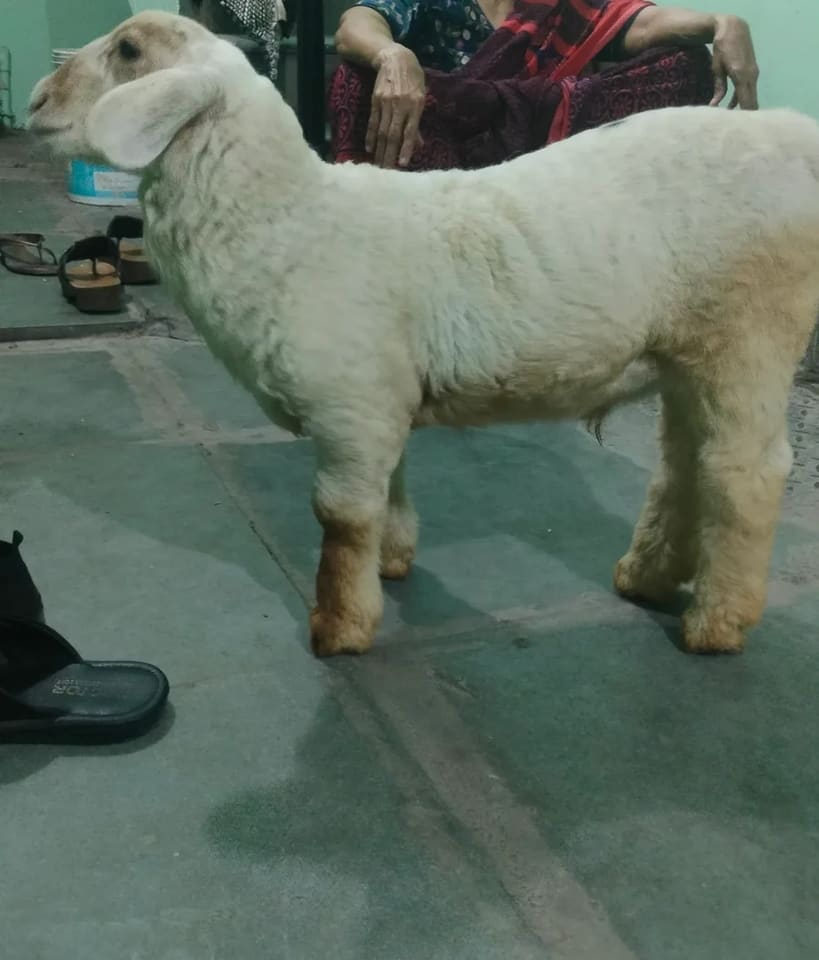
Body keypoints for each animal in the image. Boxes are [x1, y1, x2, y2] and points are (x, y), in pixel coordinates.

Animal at [28, 11, 819, 658]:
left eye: (129, 50)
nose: (34, 104)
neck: (285, 221)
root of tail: (792, 134)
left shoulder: (349, 403)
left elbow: (341, 517)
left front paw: (340, 625)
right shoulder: (379, 396)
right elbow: (389, 490)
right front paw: (394, 559)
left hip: (748, 336)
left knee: (745, 472)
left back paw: (717, 623)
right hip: (687, 353)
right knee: (687, 464)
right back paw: (648, 577)